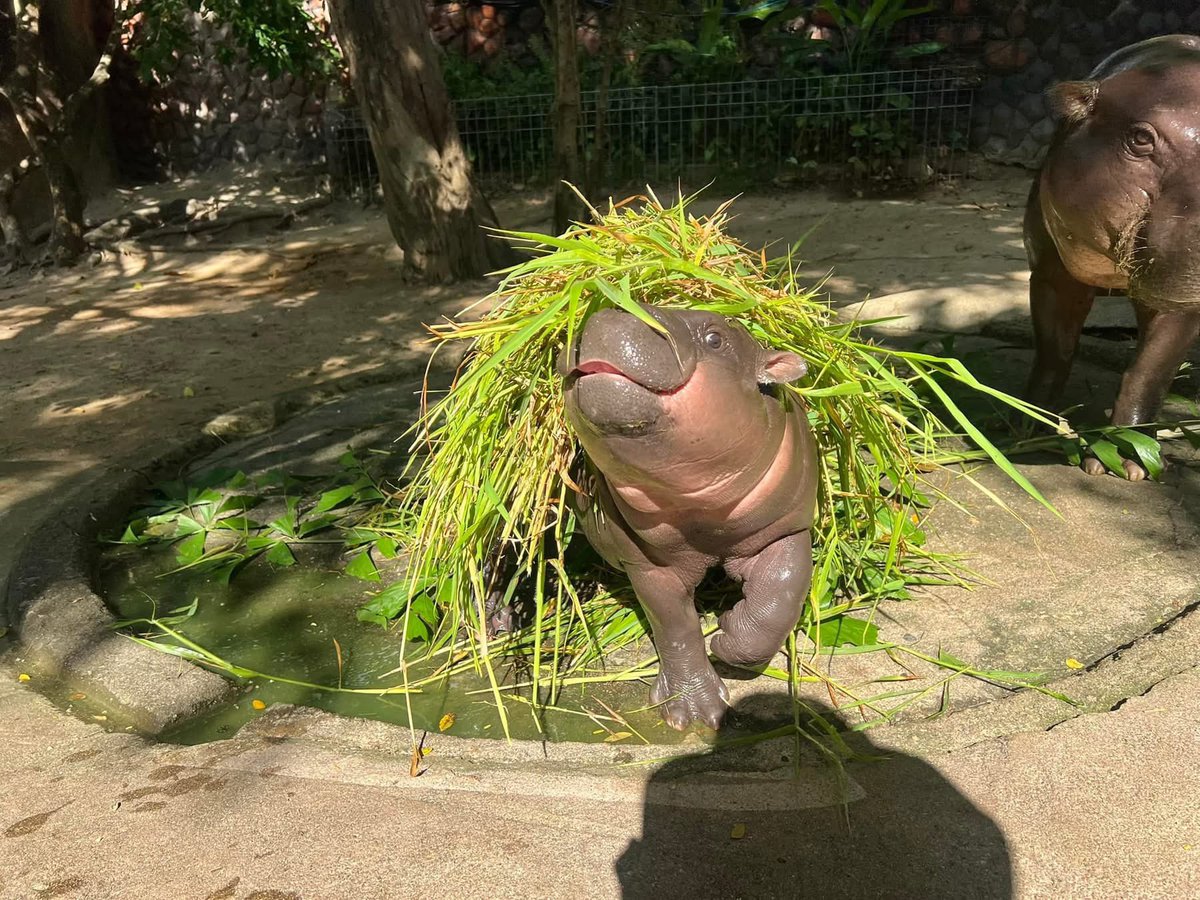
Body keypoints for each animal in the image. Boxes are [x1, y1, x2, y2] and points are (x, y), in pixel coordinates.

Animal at [559, 306, 815, 729]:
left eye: (715, 338)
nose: (610, 311)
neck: (704, 511)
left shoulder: (785, 527)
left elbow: (781, 595)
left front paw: (726, 636)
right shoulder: (649, 563)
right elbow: (674, 625)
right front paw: (694, 713)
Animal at [1025, 34, 1200, 480]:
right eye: (1140, 138)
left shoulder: (1179, 301)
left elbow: (1147, 373)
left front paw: (1130, 458)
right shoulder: (1052, 273)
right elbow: (1054, 352)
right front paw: (1026, 424)